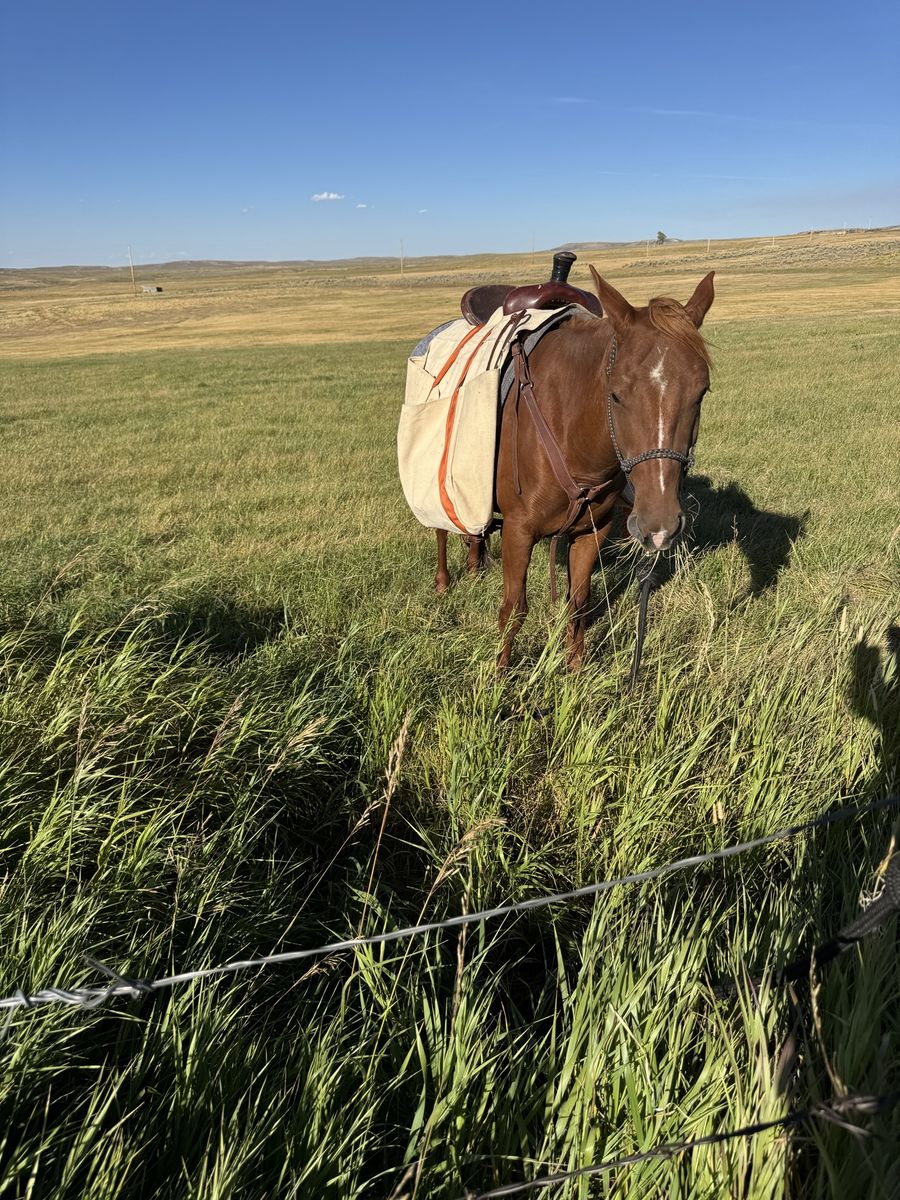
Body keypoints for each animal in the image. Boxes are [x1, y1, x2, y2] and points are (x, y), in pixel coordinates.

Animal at [434, 268, 715, 671]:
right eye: (615, 394)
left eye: (701, 392)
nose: (658, 527)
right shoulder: (518, 532)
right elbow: (513, 610)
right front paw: (498, 677)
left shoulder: (592, 531)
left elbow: (578, 604)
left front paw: (575, 671)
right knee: (441, 527)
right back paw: (443, 582)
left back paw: (474, 565)